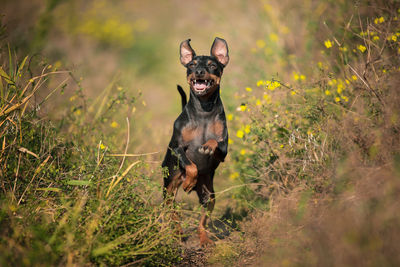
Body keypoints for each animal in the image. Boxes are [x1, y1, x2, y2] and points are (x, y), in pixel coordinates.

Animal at [162, 37, 230, 247]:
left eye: (212, 65)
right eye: (191, 64)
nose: (199, 71)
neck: (203, 110)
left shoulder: (224, 150)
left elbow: (215, 142)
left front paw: (207, 146)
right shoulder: (177, 148)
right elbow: (190, 164)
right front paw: (189, 181)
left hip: (209, 196)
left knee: (203, 221)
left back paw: (204, 238)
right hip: (169, 186)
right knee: (172, 210)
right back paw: (177, 232)